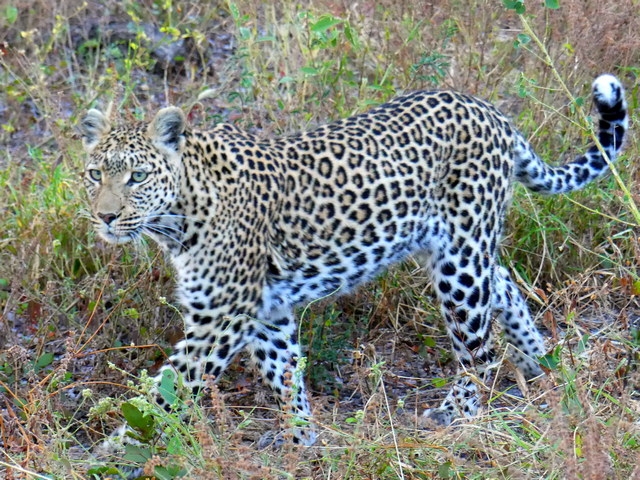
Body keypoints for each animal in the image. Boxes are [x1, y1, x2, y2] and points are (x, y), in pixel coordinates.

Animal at [80, 74, 628, 448]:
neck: (180, 214)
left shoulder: (221, 318)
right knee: (506, 288)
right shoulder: (265, 312)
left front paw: (114, 454)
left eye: (137, 176)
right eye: (93, 174)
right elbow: (285, 378)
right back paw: (540, 366)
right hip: (458, 247)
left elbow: (167, 392)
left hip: (460, 260)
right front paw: (302, 441)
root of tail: (490, 110)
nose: (105, 216)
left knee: (480, 350)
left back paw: (461, 414)